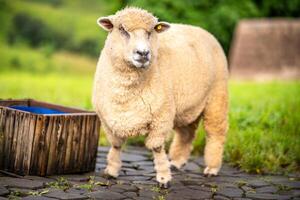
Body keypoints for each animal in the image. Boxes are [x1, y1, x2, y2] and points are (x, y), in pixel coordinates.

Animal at [92, 6, 229, 188]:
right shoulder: (109, 120)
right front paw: (111, 171)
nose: (143, 53)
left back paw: (212, 168)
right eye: (122, 29)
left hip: (217, 96)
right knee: (186, 134)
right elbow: (116, 145)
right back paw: (177, 162)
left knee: (215, 133)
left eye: (151, 31)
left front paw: (163, 178)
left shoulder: (161, 118)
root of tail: (201, 29)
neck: (126, 92)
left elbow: (156, 148)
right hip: (185, 108)